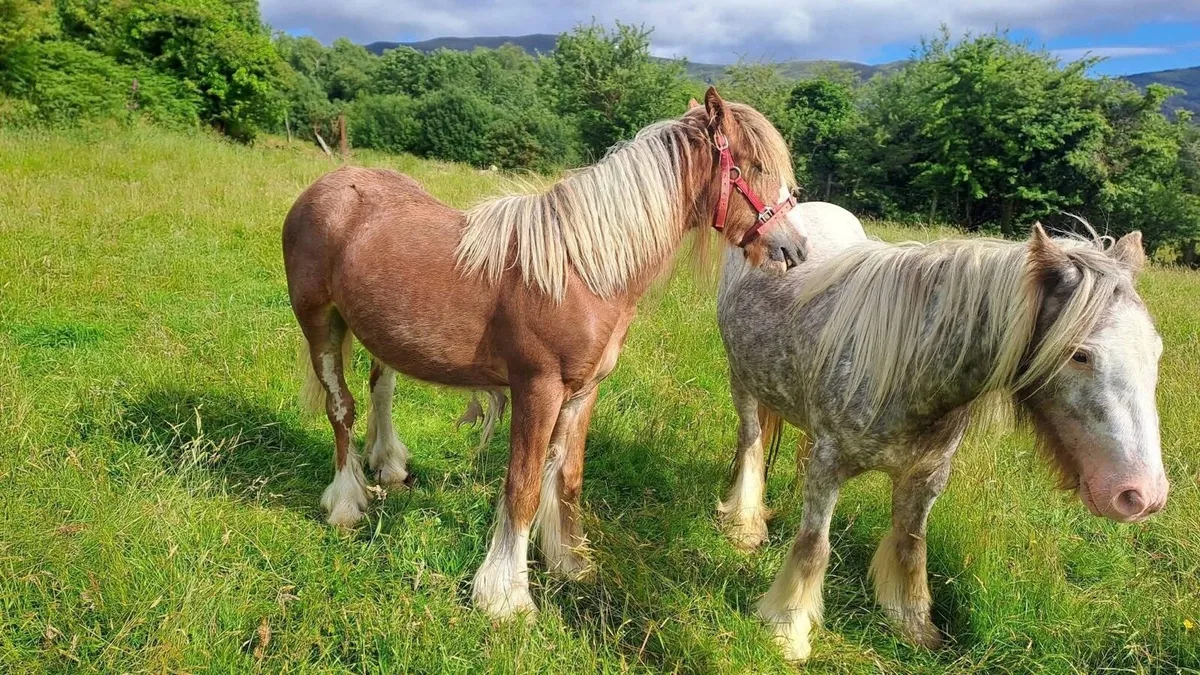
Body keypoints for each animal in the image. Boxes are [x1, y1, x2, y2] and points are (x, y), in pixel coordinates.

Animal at [281, 88, 806, 619]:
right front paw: (505, 597)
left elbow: (567, 478)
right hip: (320, 324)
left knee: (381, 389)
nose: (795, 251)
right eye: (755, 165)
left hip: (378, 333)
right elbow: (524, 486)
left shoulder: (583, 392)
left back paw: (388, 464)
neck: (582, 268)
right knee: (341, 408)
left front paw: (570, 563)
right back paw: (346, 503)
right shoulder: (538, 389)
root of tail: (325, 186)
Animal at [716, 214, 1168, 661]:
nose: (1141, 496)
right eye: (1080, 355)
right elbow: (813, 547)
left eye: (1156, 350)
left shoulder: (927, 476)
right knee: (751, 442)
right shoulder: (829, 467)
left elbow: (910, 547)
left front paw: (913, 626)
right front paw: (787, 630)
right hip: (743, 382)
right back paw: (745, 525)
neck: (907, 365)